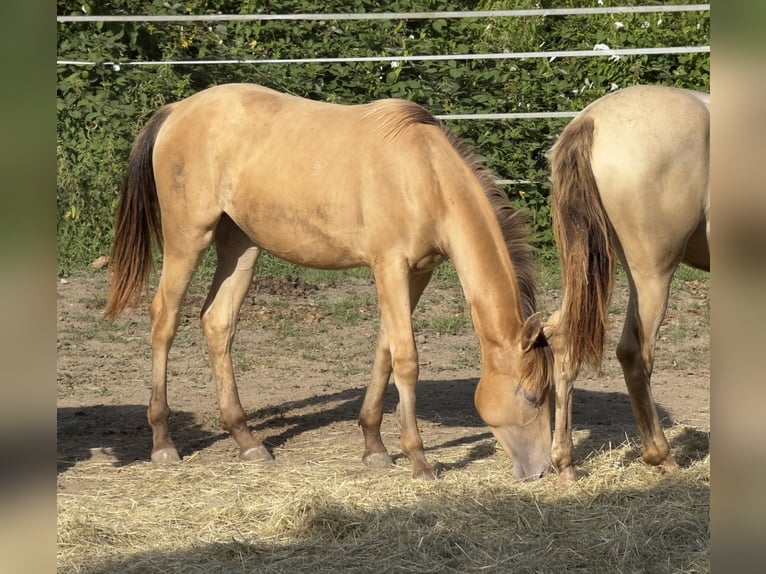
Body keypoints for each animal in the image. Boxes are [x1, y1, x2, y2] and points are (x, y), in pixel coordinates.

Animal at [105, 84, 556, 482]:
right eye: (531, 396)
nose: (542, 469)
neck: (423, 174)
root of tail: (177, 110)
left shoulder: (418, 272)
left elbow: (385, 350)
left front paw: (374, 445)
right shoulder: (389, 266)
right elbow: (406, 359)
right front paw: (418, 460)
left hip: (241, 245)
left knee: (218, 322)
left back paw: (246, 439)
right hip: (188, 237)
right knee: (164, 319)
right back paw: (163, 442)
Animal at [544, 83, 712, 484]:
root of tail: (591, 120)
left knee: (562, 337)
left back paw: (565, 463)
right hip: (654, 273)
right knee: (635, 352)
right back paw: (660, 455)